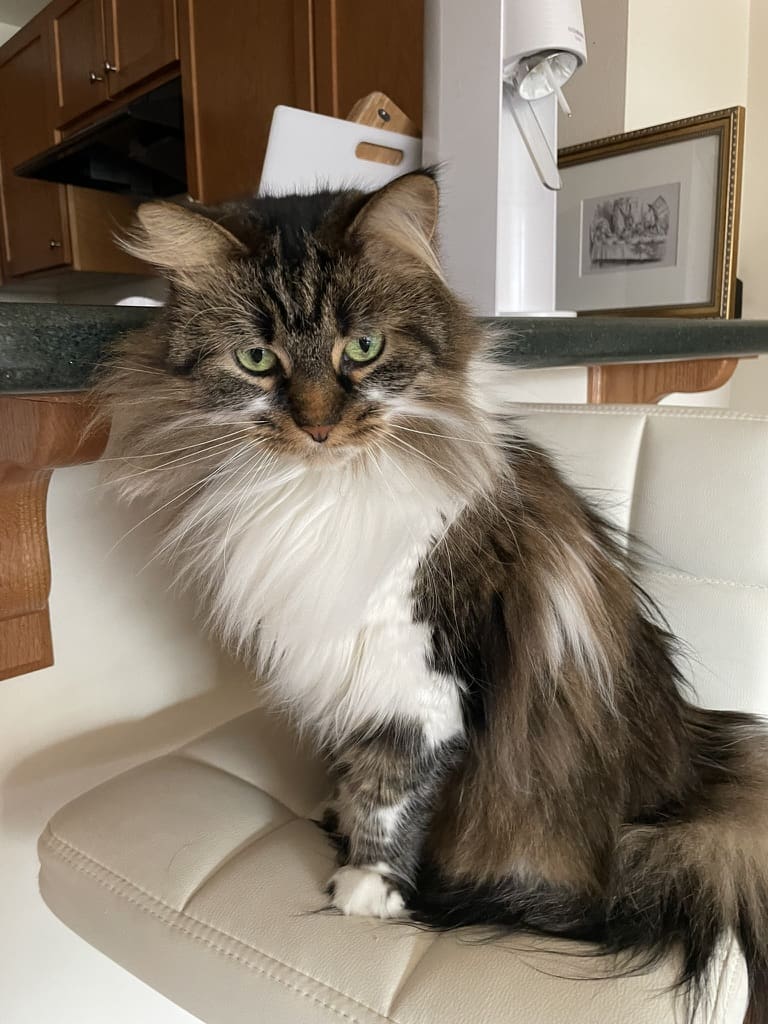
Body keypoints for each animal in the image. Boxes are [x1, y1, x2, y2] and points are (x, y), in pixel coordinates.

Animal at [96, 172, 768, 1019]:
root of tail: (689, 782)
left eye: (363, 349)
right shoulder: (342, 662)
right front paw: (340, 811)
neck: (324, 494)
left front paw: (367, 887)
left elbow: (393, 789)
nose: (318, 428)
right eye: (256, 359)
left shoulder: (420, 678)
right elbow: (357, 768)